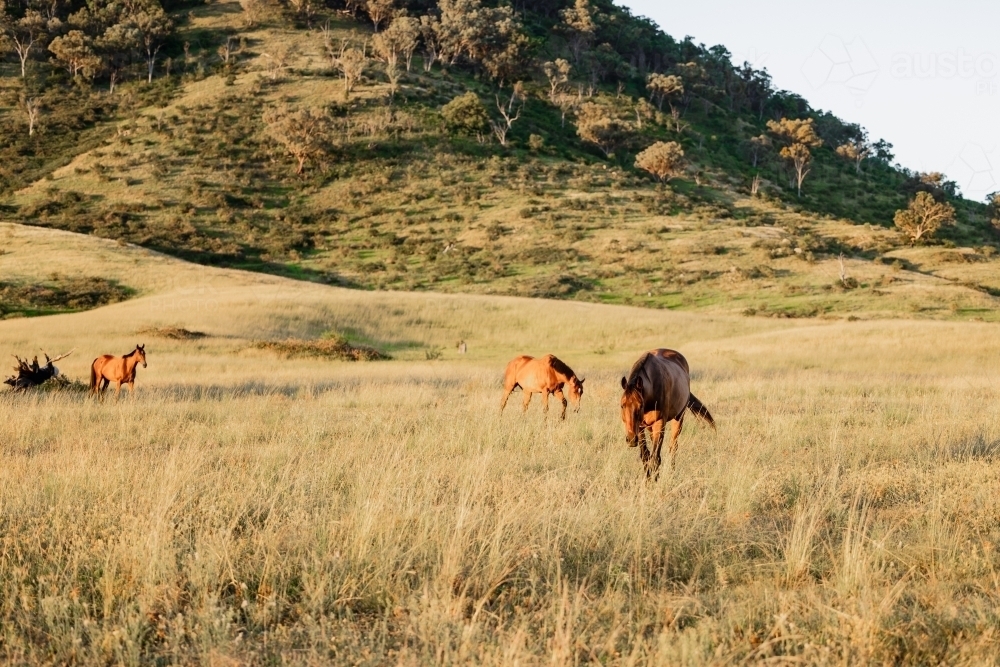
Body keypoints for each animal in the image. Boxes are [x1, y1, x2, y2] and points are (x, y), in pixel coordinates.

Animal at [619, 349, 715, 479]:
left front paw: (655, 479)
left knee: (673, 447)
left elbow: (655, 457)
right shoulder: (640, 427)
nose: (631, 439)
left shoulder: (659, 424)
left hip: (678, 419)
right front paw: (648, 479)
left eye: (640, 406)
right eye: (622, 405)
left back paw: (671, 472)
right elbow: (645, 456)